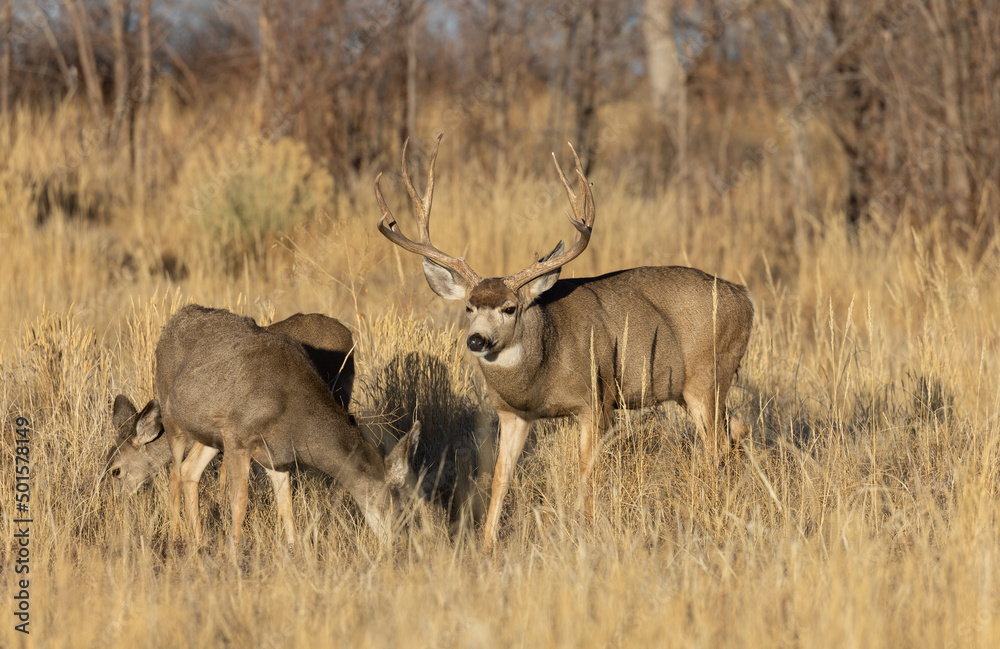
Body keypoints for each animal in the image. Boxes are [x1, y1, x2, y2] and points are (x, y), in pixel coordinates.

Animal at [375, 135, 754, 546]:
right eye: (469, 307)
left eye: (510, 308)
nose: (477, 340)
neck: (542, 371)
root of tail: (746, 299)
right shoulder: (512, 413)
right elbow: (500, 477)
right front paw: (487, 543)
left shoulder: (597, 400)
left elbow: (587, 472)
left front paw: (587, 534)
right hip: (691, 390)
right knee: (734, 433)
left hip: (707, 378)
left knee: (716, 444)